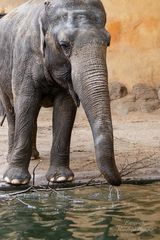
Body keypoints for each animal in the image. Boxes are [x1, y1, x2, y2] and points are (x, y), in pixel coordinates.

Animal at [0, 0, 120, 186]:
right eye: (64, 45)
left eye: (108, 42)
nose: (119, 181)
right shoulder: (24, 56)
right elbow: (26, 102)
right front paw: (14, 180)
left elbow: (65, 107)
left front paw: (61, 178)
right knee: (12, 110)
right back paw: (10, 157)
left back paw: (33, 156)